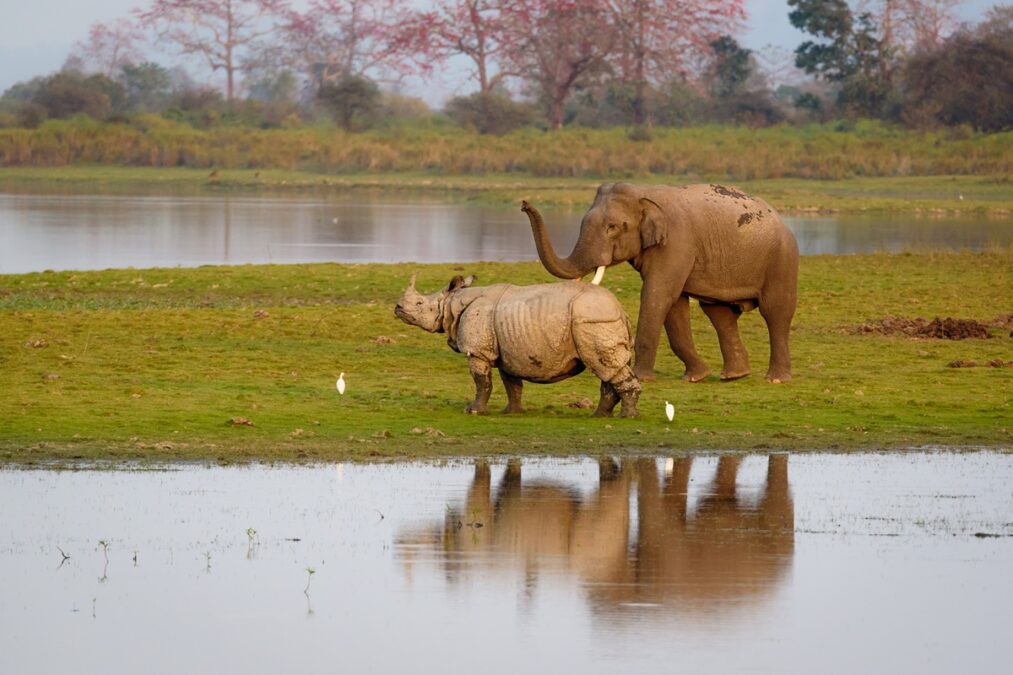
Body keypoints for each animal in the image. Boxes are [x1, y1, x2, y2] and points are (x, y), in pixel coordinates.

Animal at [393, 273, 641, 417]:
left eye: (419, 303)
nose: (397, 307)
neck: (451, 303)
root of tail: (620, 310)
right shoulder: (509, 350)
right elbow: (511, 384)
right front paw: (511, 411)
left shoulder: (478, 351)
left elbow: (482, 382)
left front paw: (473, 411)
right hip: (602, 321)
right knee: (609, 368)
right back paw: (600, 415)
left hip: (593, 320)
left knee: (605, 366)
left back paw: (626, 417)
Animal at [521, 182, 799, 383]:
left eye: (613, 227)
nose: (524, 203)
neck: (644, 193)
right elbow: (674, 305)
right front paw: (695, 377)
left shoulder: (676, 242)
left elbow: (658, 295)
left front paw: (642, 377)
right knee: (720, 314)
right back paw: (733, 376)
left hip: (781, 259)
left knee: (775, 312)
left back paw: (776, 380)